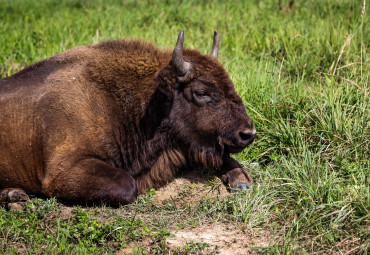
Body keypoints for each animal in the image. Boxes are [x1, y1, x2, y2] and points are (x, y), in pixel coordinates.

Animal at [0, 30, 256, 209]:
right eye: (201, 92)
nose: (248, 134)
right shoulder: (63, 171)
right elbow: (127, 185)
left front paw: (241, 180)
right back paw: (14, 197)